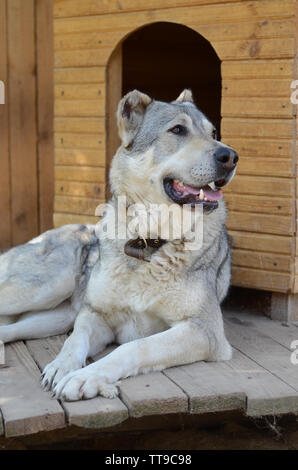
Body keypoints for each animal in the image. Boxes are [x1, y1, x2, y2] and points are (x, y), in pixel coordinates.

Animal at [0, 89, 237, 400]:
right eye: (178, 130)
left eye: (213, 133)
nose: (230, 156)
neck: (149, 239)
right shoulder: (95, 315)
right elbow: (75, 341)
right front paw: (63, 366)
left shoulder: (205, 331)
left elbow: (135, 346)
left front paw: (85, 377)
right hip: (44, 288)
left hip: (54, 317)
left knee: (10, 330)